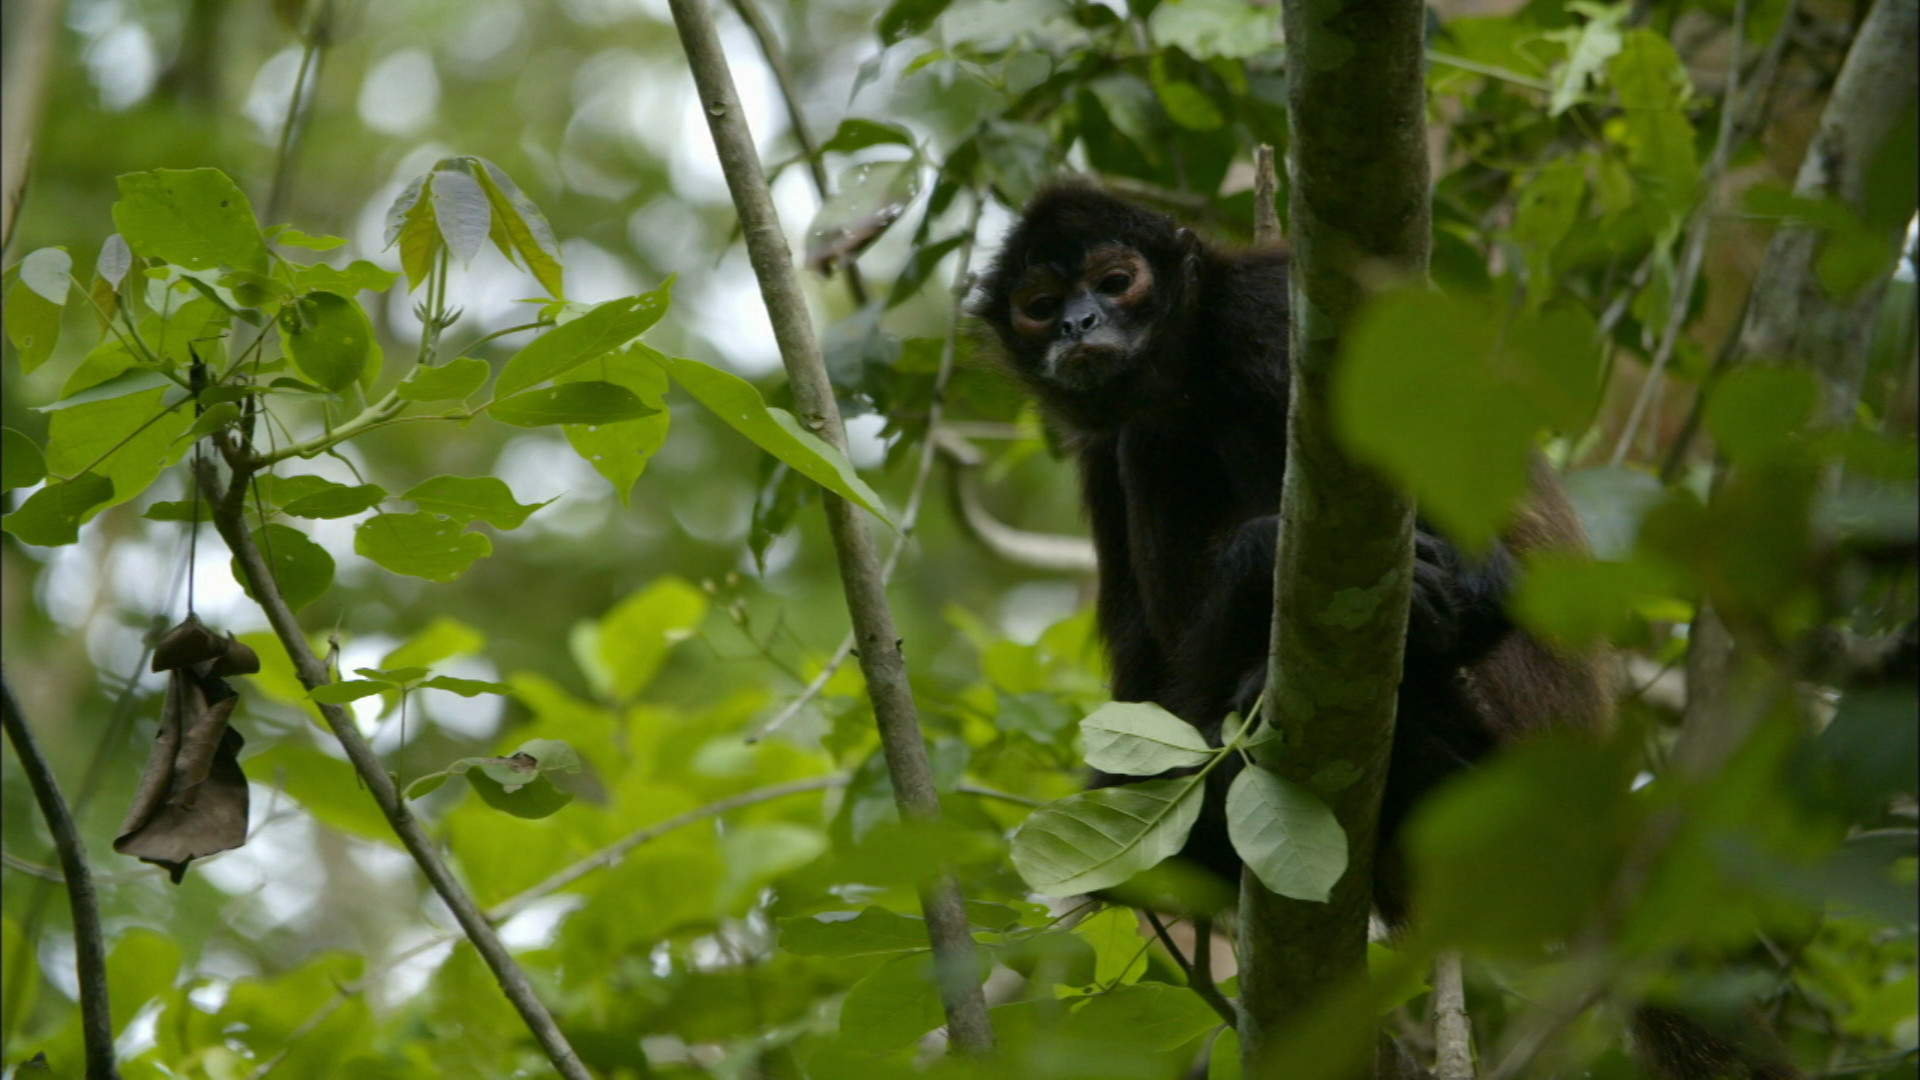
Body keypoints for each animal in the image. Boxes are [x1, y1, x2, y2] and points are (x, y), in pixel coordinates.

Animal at [983, 180, 1804, 1068]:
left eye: (1115, 281)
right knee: (1156, 446)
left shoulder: (1266, 316)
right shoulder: (1100, 445)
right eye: (1039, 305)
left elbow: (1484, 578)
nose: (1078, 324)